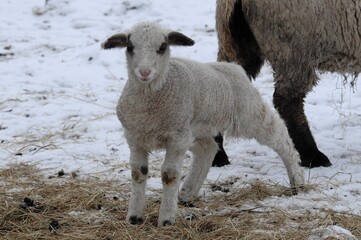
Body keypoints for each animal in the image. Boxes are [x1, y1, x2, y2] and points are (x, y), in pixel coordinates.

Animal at [101, 22, 304, 227]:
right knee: (207, 149)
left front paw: (166, 219)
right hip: (197, 127)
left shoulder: (177, 139)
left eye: (162, 47)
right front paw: (134, 217)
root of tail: (234, 68)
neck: (150, 101)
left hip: (248, 113)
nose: (144, 72)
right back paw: (187, 193)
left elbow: (169, 175)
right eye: (130, 47)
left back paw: (297, 180)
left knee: (279, 135)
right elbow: (138, 173)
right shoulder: (135, 138)